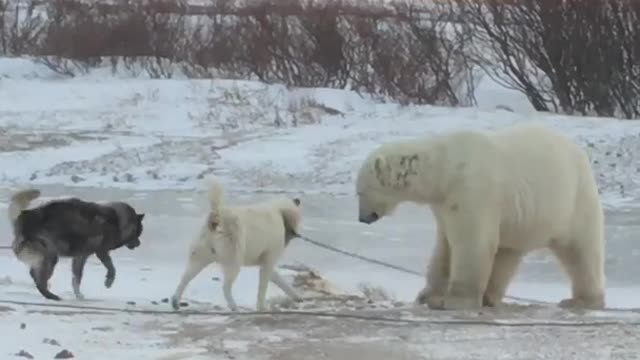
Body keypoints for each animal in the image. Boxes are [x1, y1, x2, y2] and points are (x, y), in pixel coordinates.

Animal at [9, 188, 145, 300]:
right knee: (38, 279)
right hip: (50, 257)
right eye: (138, 232)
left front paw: (78, 295)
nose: (139, 244)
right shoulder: (99, 252)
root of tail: (22, 219)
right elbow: (111, 268)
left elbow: (76, 278)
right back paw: (51, 296)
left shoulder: (80, 257)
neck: (117, 220)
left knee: (34, 274)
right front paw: (108, 282)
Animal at [171, 178, 304, 312]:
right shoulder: (268, 261)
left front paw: (296, 296)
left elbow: (280, 280)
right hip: (233, 261)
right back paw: (234, 306)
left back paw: (175, 301)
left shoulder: (266, 262)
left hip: (199, 258)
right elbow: (263, 287)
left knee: (184, 279)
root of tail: (217, 215)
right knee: (225, 287)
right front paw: (261, 307)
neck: (281, 212)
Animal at [356, 123, 604, 310]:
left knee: (580, 250)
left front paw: (454, 301)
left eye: (360, 192)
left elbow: (471, 241)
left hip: (573, 201)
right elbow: (444, 247)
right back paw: (489, 297)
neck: (446, 168)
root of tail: (580, 154)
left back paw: (581, 301)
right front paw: (426, 296)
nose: (362, 218)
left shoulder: (471, 191)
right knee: (507, 251)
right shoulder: (444, 203)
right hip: (521, 218)